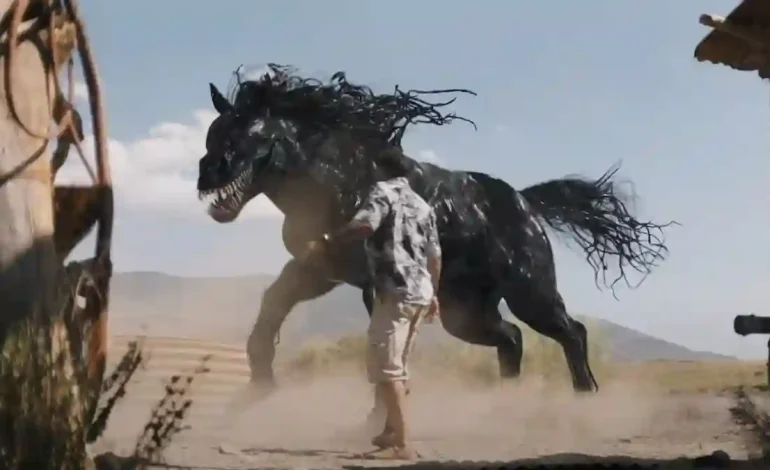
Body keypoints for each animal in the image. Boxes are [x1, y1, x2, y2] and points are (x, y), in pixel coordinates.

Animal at [196, 64, 673, 398]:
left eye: (246, 133)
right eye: (212, 133)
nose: (205, 173)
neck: (340, 179)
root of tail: (525, 202)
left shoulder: (371, 281)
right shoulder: (320, 269)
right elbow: (272, 306)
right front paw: (262, 382)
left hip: (531, 292)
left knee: (570, 332)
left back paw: (584, 397)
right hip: (466, 311)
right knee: (512, 338)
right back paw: (506, 403)